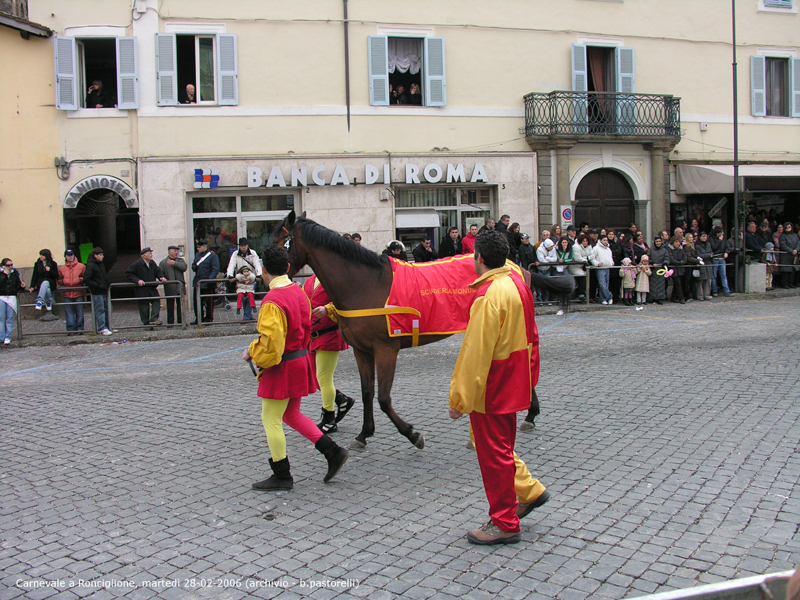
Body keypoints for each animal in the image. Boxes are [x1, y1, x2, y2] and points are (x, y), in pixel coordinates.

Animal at [272, 211, 572, 450]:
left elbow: (383, 398)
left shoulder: (386, 350)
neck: (365, 283)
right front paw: (364, 434)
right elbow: (368, 393)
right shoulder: (362, 351)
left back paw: (529, 414)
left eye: (277, 242)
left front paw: (412, 434)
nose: (267, 276)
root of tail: (515, 265)